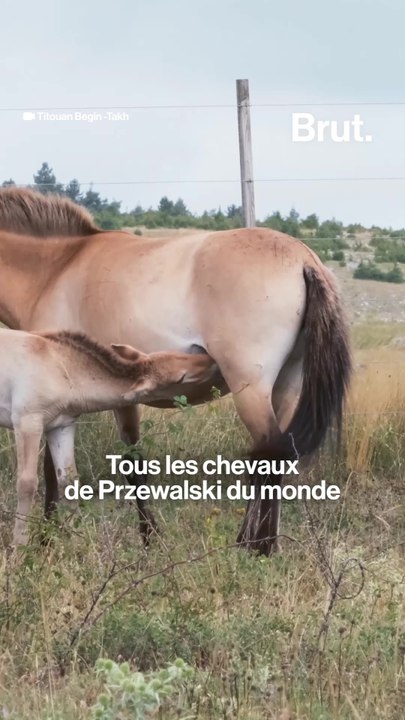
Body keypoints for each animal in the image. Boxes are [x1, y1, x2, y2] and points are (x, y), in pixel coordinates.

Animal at [0, 327, 215, 544]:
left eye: (179, 355)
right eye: (180, 378)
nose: (210, 360)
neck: (61, 367)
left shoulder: (61, 426)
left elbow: (69, 481)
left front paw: (77, 545)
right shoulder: (28, 422)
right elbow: (27, 484)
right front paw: (18, 547)